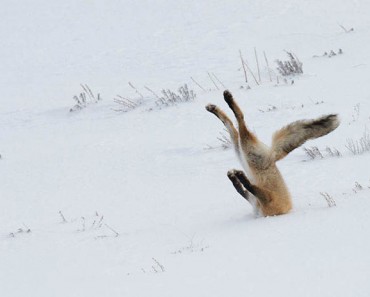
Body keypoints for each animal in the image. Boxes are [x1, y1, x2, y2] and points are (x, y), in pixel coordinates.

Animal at [207, 90, 340, 215]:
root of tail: (272, 157)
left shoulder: (267, 199)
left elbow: (247, 187)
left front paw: (239, 177)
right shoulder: (258, 199)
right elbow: (242, 189)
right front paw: (235, 177)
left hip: (246, 152)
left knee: (239, 121)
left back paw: (226, 100)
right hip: (242, 152)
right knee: (232, 125)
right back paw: (216, 107)